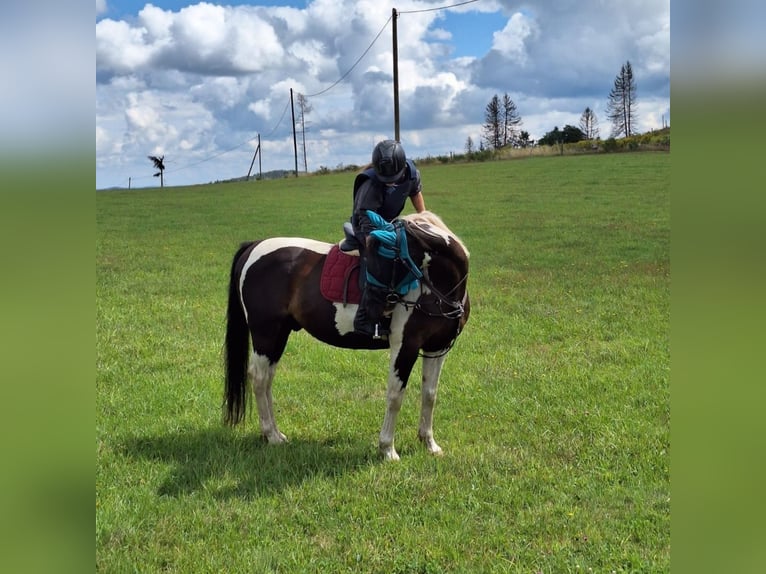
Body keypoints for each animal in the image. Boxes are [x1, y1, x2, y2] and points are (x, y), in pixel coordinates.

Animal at [225, 212, 472, 464]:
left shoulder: (437, 348)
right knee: (259, 377)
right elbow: (395, 396)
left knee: (267, 378)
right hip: (265, 333)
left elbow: (429, 394)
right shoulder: (405, 347)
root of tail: (254, 245)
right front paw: (387, 449)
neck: (438, 290)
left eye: (386, 253)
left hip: (278, 334)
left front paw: (429, 444)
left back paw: (275, 433)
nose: (372, 309)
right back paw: (271, 435)